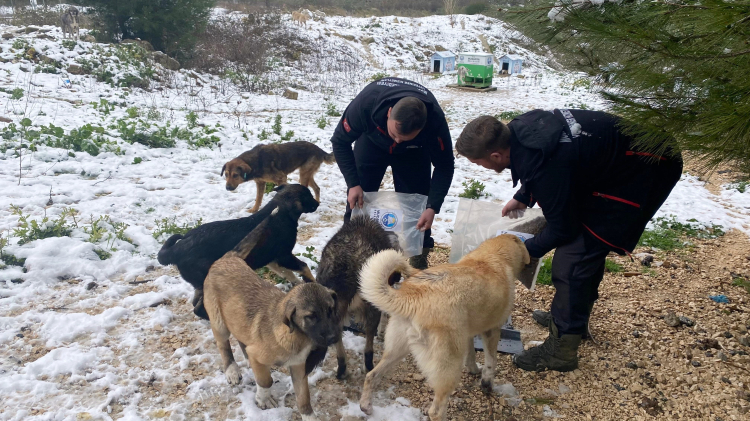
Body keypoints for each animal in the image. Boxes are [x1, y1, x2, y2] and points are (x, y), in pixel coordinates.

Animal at [159, 184, 320, 318]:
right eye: (309, 197)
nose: (318, 203)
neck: (281, 212)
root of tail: (176, 249)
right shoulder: (284, 256)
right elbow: (303, 266)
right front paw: (312, 282)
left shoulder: (273, 260)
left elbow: (288, 274)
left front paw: (299, 285)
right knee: (198, 308)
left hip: (199, 283)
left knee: (195, 302)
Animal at [201, 221, 340, 418]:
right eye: (311, 316)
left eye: (330, 310)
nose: (334, 338)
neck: (295, 336)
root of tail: (227, 258)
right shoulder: (263, 356)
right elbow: (266, 380)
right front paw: (263, 399)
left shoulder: (298, 366)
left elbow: (304, 398)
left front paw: (309, 416)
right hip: (219, 322)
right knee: (224, 345)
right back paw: (232, 371)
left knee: (242, 339)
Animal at [314, 213, 402, 378]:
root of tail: (349, 261)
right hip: (371, 304)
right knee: (369, 338)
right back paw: (368, 365)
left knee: (337, 333)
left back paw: (341, 367)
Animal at [356, 233, 528, 420]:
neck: (493, 256)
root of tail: (414, 297)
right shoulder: (492, 331)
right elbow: (491, 362)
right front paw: (486, 383)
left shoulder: (468, 334)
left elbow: (471, 355)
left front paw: (474, 369)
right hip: (449, 367)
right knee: (436, 411)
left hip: (397, 350)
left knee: (371, 376)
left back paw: (366, 407)